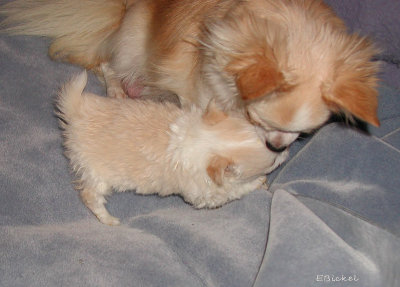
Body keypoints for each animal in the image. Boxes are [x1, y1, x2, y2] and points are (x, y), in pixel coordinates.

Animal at [0, 0, 380, 152]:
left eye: (305, 133)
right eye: (254, 117)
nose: (274, 146)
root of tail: (121, 12)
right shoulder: (193, 89)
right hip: (132, 43)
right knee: (109, 66)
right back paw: (120, 90)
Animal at [57, 71, 288, 225]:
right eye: (272, 160)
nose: (285, 151)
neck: (202, 138)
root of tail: (76, 111)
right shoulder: (208, 194)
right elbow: (238, 189)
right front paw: (259, 182)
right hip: (97, 174)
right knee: (90, 196)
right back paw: (109, 219)